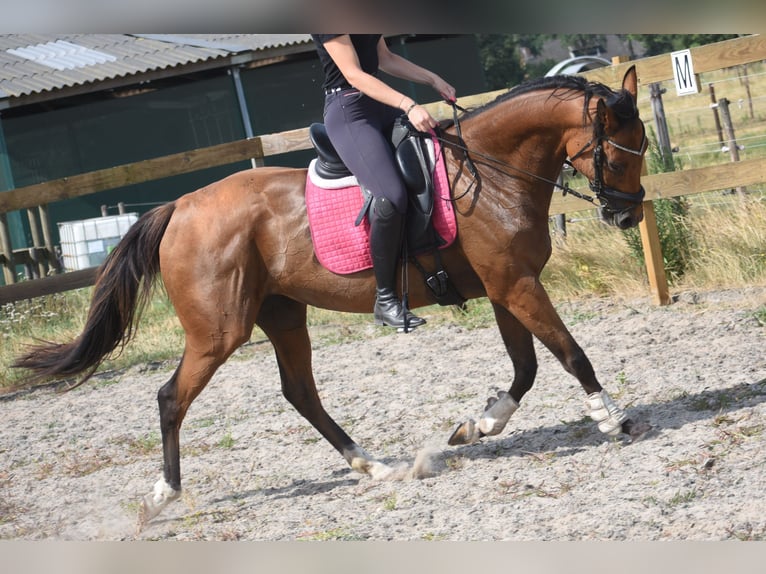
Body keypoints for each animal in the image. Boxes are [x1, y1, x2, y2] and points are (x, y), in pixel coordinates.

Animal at [14, 66, 650, 525]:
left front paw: (480, 425)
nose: (627, 216)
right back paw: (161, 497)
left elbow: (526, 368)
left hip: (282, 315)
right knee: (173, 399)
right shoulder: (516, 286)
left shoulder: (505, 288)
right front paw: (612, 419)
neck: (492, 174)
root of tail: (179, 207)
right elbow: (570, 354)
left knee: (300, 393)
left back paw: (373, 466)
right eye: (616, 153)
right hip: (219, 330)